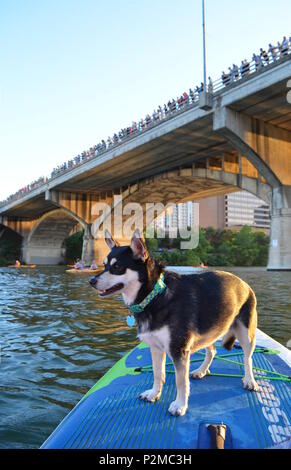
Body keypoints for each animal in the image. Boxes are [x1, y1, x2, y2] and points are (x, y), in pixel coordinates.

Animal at [89, 229, 260, 416]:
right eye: (104, 265)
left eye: (117, 267)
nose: (91, 281)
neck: (155, 296)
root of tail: (243, 283)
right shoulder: (156, 348)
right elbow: (158, 374)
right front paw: (154, 393)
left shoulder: (179, 351)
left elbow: (181, 381)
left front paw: (180, 405)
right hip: (211, 329)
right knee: (212, 351)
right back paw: (201, 370)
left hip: (246, 334)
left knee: (248, 358)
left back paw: (250, 380)